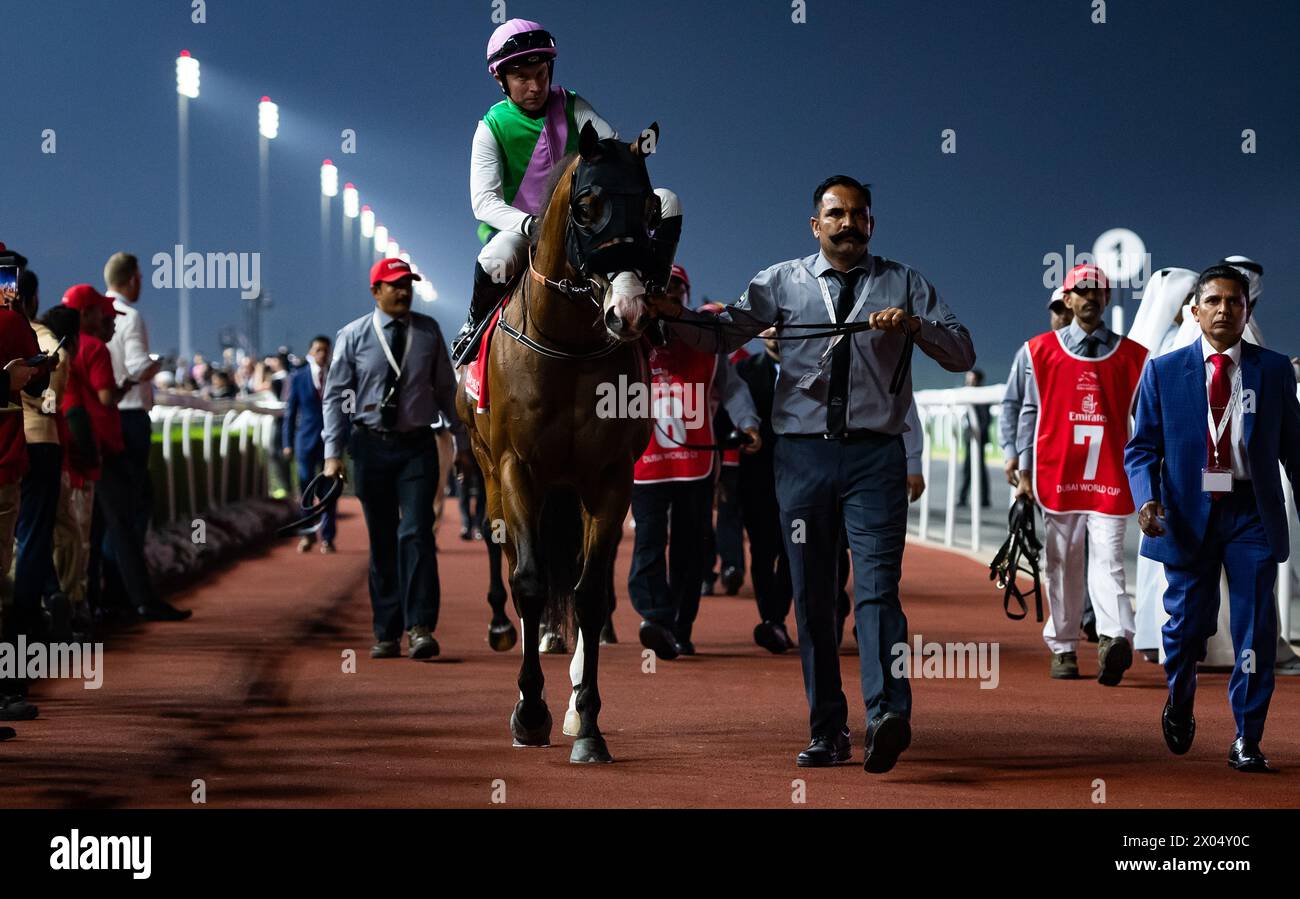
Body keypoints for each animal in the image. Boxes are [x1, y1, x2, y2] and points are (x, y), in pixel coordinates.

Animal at [457, 121, 660, 763]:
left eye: (651, 208)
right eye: (587, 204)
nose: (629, 311)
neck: (567, 349)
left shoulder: (610, 475)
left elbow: (589, 591)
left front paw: (586, 719)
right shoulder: (517, 467)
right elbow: (528, 578)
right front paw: (528, 712)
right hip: (486, 468)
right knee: (508, 551)